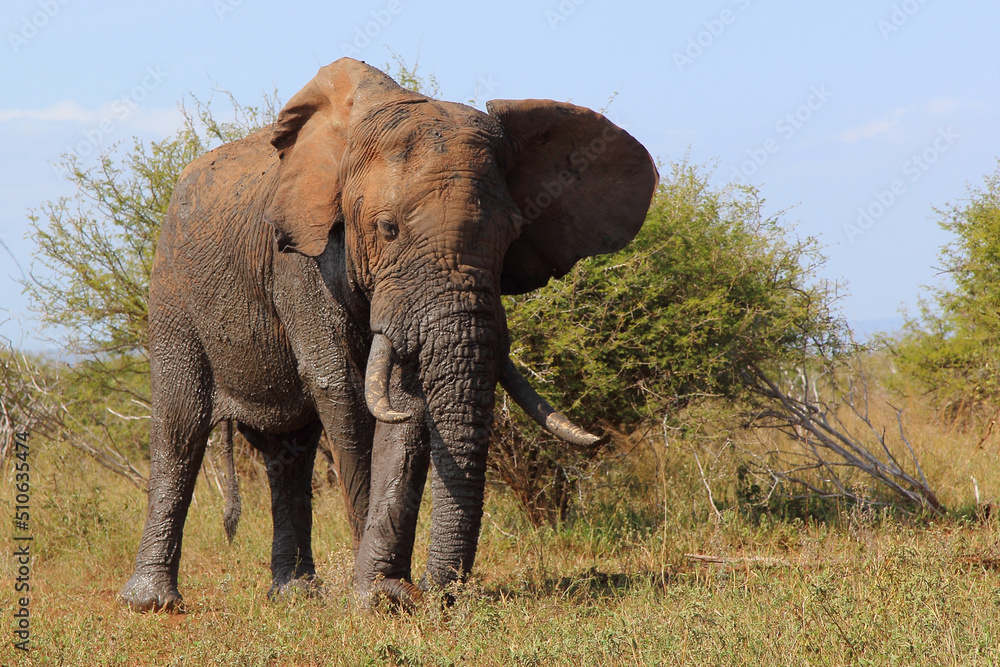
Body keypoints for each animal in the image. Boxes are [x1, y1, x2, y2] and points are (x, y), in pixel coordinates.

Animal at [119, 57, 658, 612]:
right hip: (172, 287)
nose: (445, 593)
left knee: (289, 452)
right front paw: (377, 600)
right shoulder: (303, 262)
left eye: (510, 238)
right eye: (387, 229)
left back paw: (296, 596)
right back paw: (152, 603)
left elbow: (402, 401)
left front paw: (388, 594)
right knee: (180, 425)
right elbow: (347, 392)